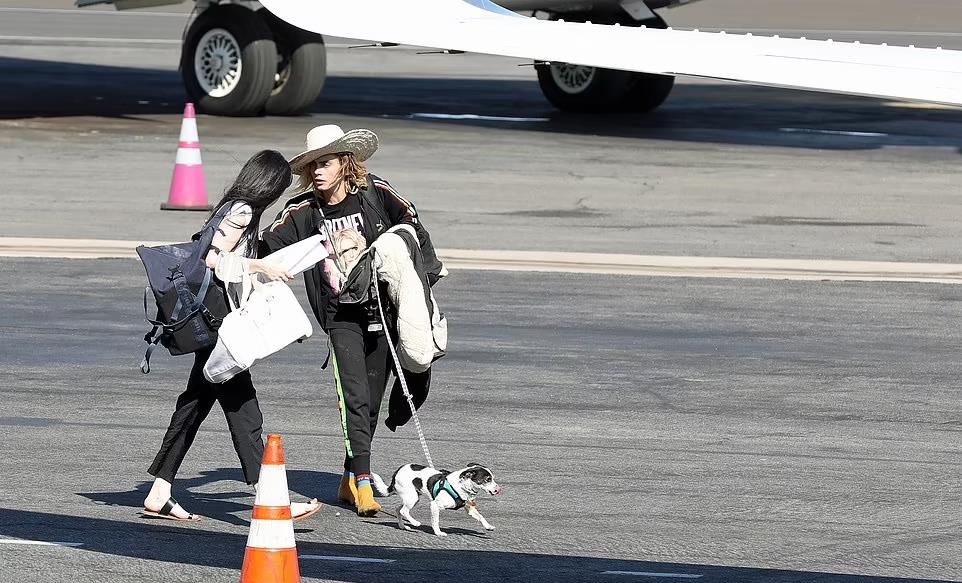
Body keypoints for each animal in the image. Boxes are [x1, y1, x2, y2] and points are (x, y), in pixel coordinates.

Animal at [370, 466, 502, 540]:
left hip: (412, 498)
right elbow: (435, 521)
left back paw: (403, 526)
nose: (498, 489)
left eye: (492, 479)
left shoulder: (470, 509)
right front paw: (438, 533)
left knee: (398, 509)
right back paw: (415, 522)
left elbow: (481, 517)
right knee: (403, 510)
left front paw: (488, 526)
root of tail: (397, 472)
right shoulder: (435, 505)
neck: (461, 485)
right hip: (412, 497)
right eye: (487, 479)